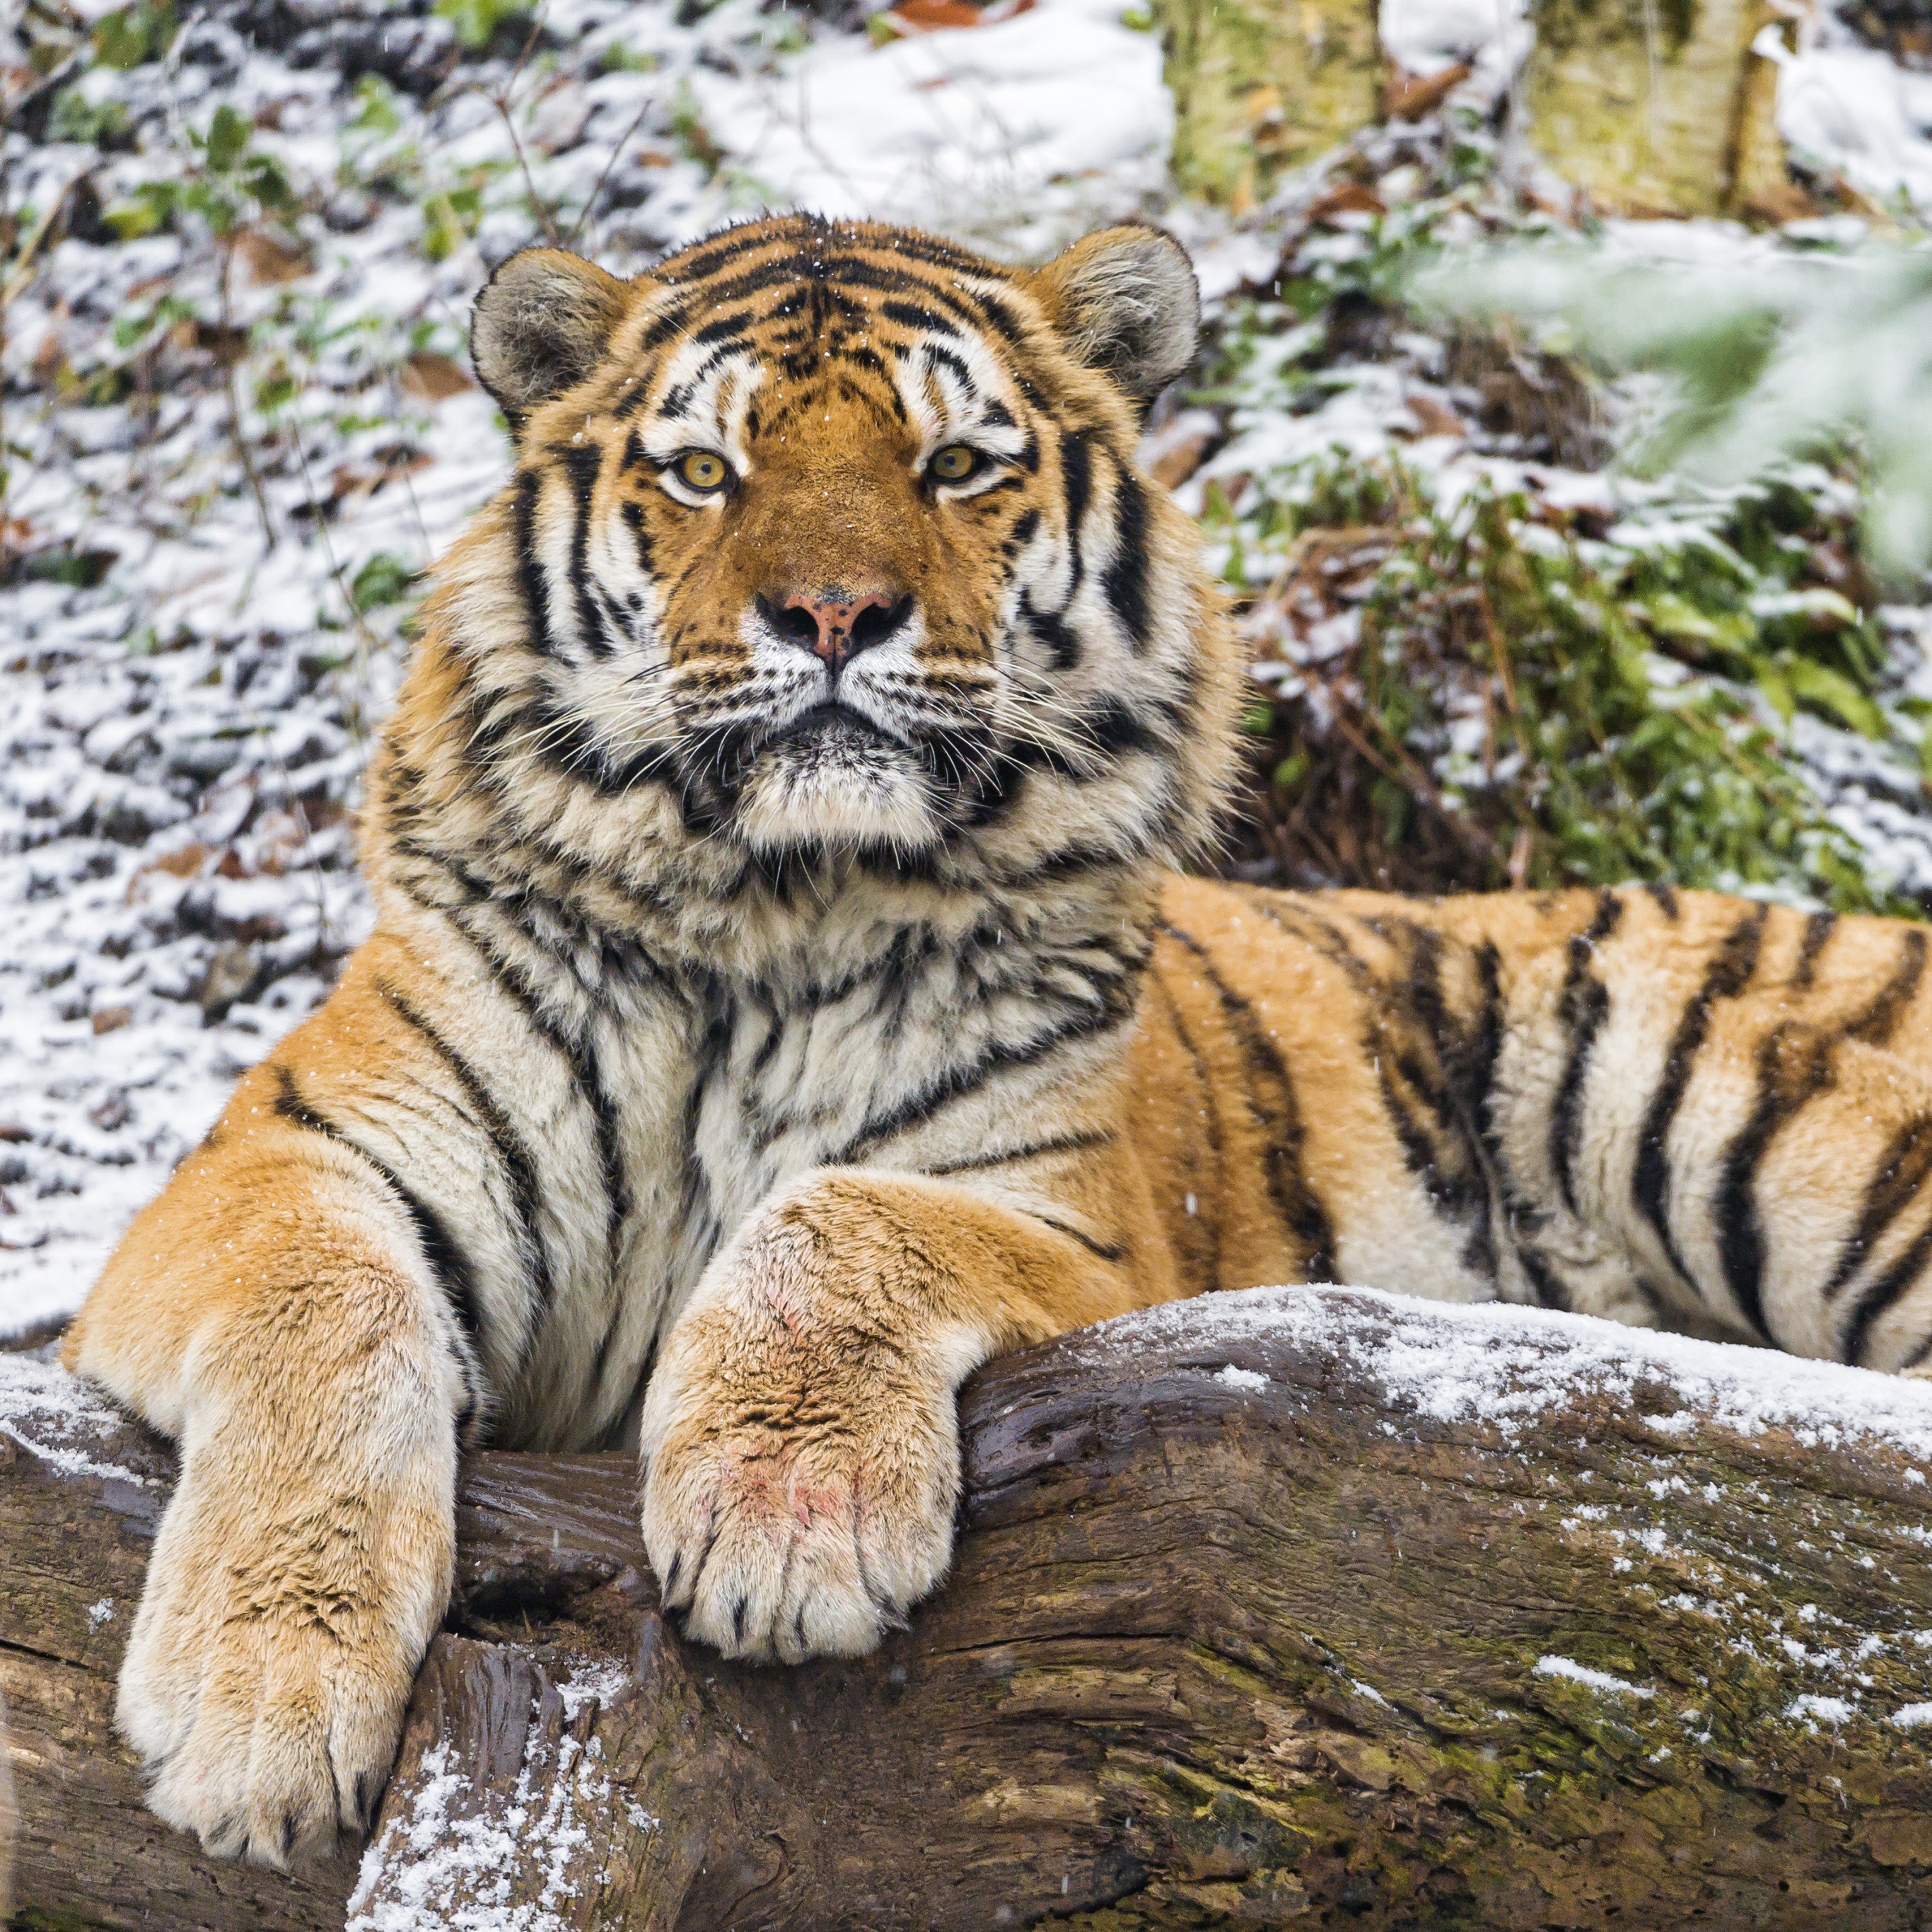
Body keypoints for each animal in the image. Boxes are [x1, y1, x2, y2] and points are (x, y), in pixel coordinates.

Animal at [62, 211, 1932, 1871]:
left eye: (955, 465)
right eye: (704, 473)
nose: (831, 615)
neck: (778, 916)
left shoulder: (1088, 1231)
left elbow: (836, 1217)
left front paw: (786, 1522)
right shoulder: (285, 1159)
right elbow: (330, 1314)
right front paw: (253, 1706)